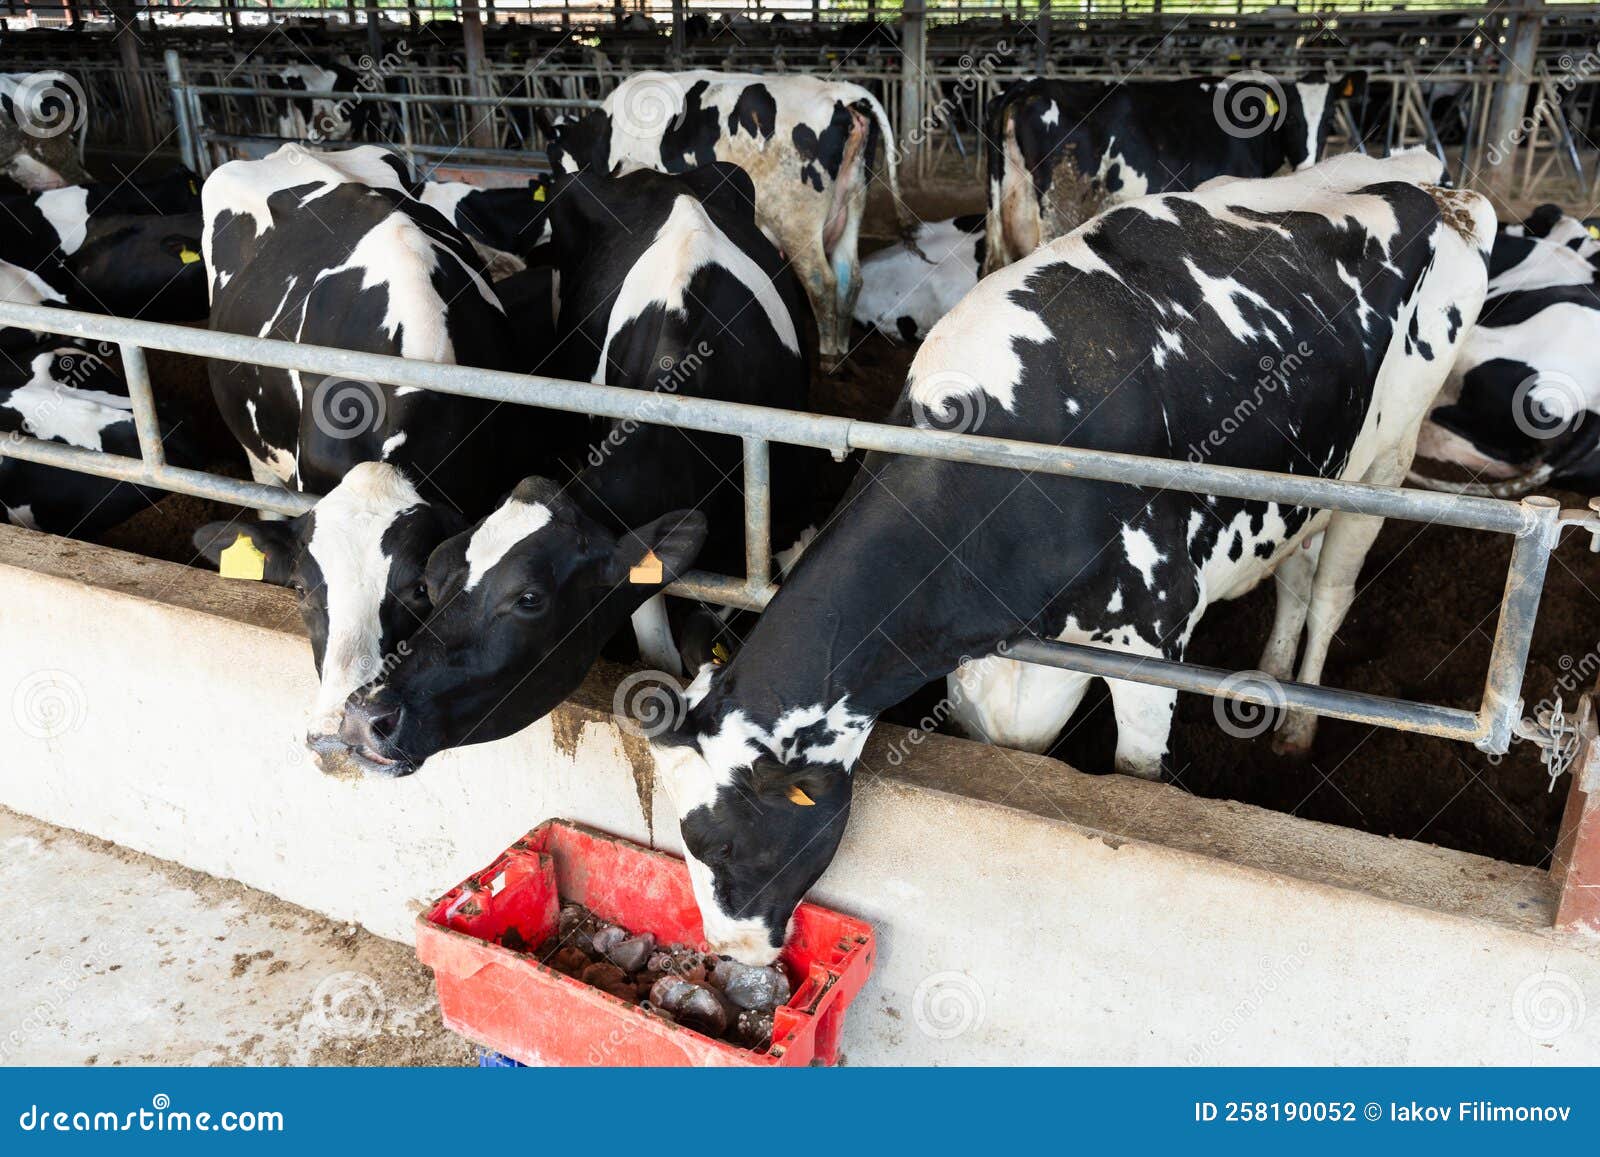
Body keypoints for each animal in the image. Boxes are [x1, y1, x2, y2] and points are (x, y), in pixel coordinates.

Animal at [550, 71, 913, 361]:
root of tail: (842, 93)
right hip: (853, 205)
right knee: (850, 279)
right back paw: (841, 348)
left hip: (797, 222)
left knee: (821, 283)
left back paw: (827, 354)